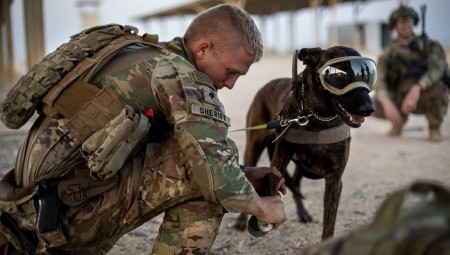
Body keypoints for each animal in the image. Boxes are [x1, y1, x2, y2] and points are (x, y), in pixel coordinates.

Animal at [236, 45, 376, 239]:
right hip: (253, 148)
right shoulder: (278, 162)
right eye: (339, 75)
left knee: (296, 184)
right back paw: (241, 221)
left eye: (367, 75)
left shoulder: (334, 180)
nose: (369, 109)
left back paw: (303, 213)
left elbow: (329, 223)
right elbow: (271, 188)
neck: (319, 118)